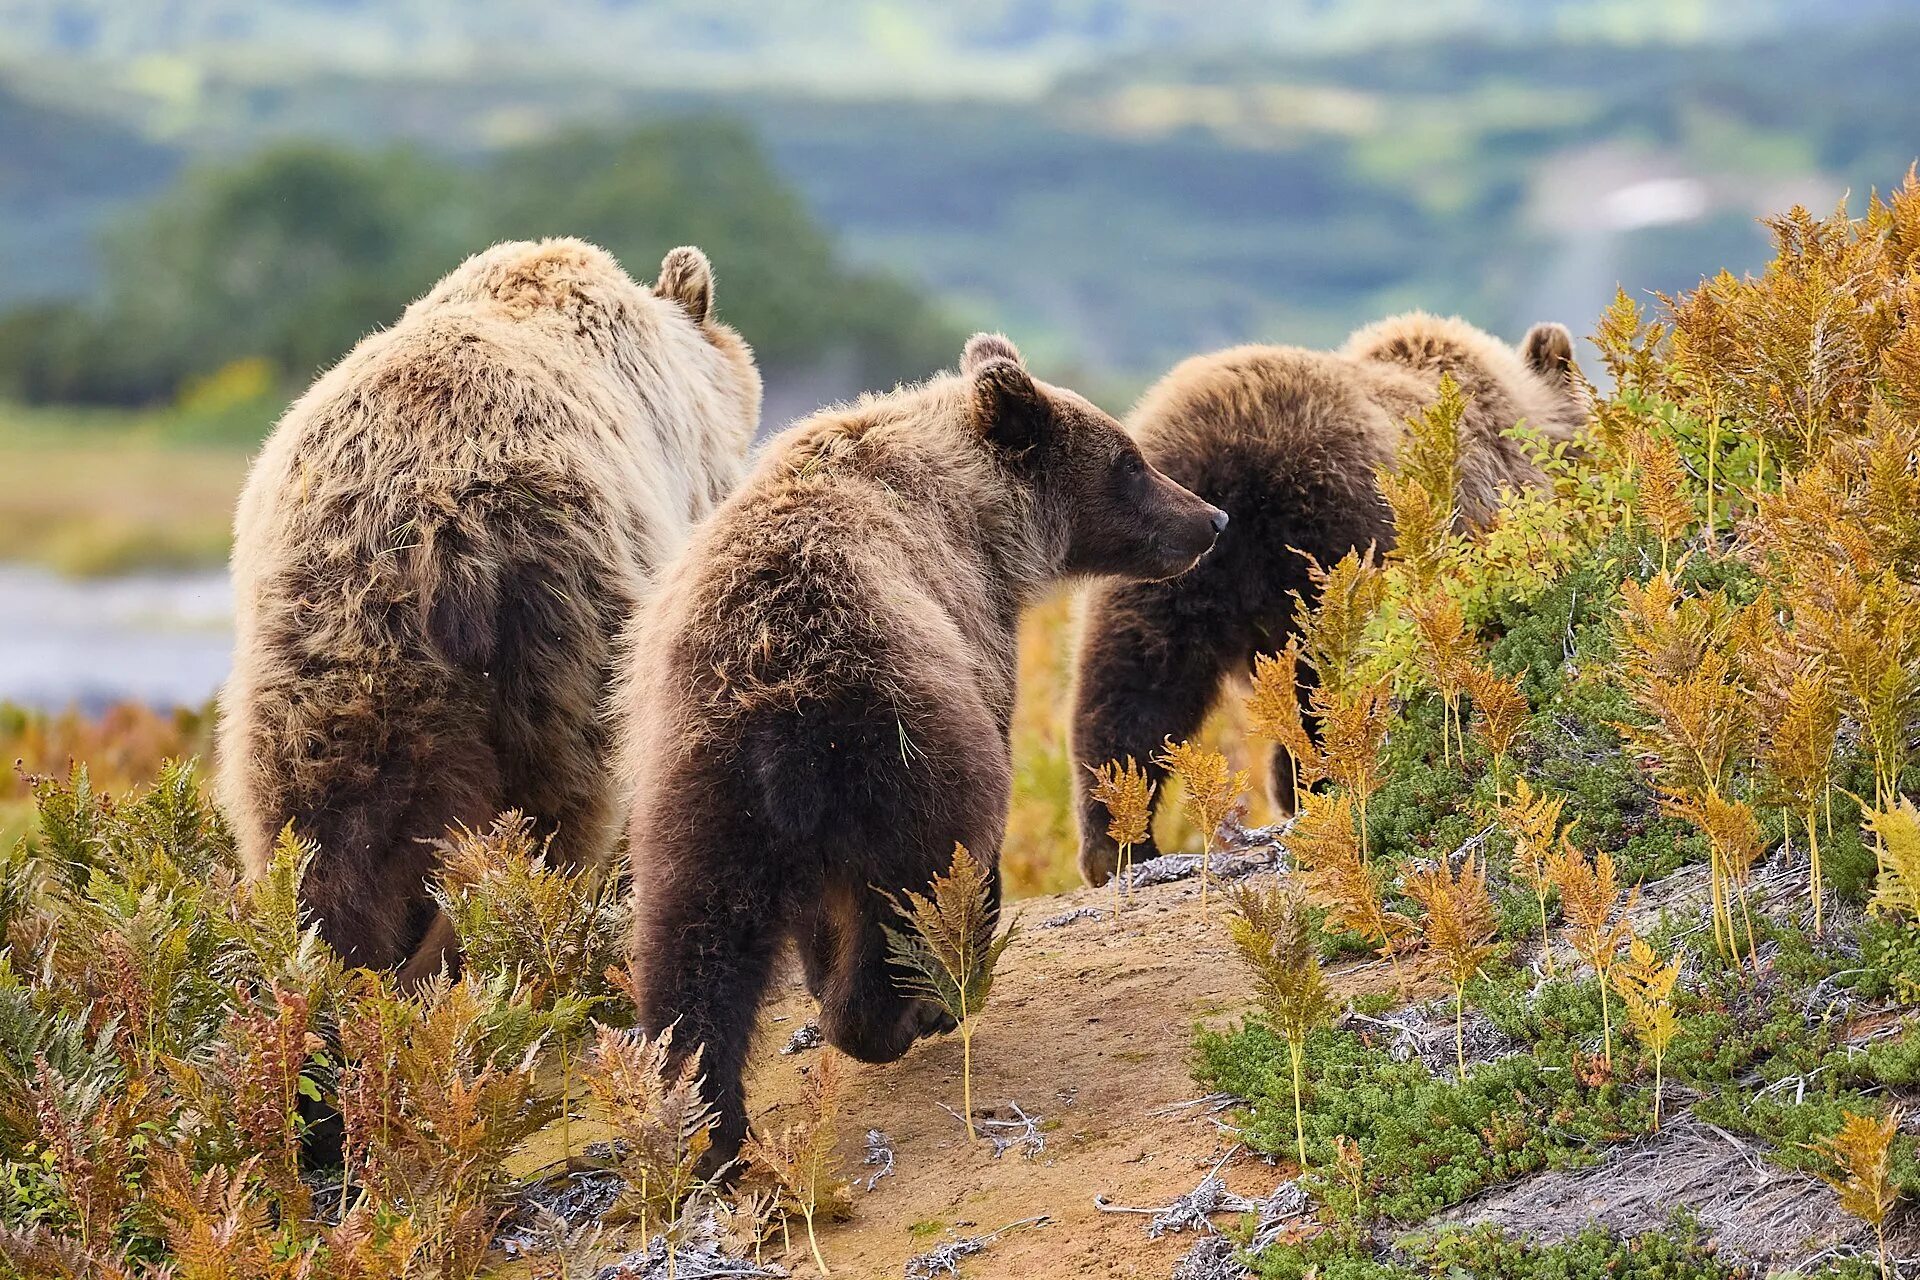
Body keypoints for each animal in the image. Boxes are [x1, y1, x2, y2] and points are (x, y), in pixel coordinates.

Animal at [220, 239, 760, 982]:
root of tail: (430, 524)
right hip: (558, 623)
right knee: (552, 809)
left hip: (318, 638)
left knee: (318, 824)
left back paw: (340, 961)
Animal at [606, 333, 1221, 1174]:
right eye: (1129, 460)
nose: (1212, 518)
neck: (978, 515)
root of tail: (776, 698)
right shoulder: (981, 648)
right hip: (899, 748)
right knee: (916, 885)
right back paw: (903, 1012)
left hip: (694, 792)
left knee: (694, 956)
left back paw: (706, 1129)